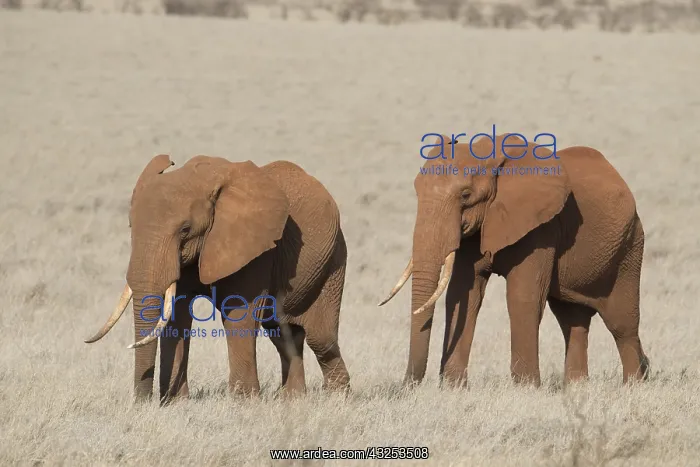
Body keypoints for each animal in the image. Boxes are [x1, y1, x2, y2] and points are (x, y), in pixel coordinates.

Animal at [85, 154, 351, 403]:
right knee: (282, 333)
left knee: (321, 339)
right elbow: (177, 315)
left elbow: (239, 312)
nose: (142, 402)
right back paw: (294, 400)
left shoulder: (256, 247)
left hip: (333, 261)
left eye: (185, 230)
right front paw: (175, 404)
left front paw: (244, 403)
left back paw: (336, 399)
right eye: (131, 226)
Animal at [379, 133, 650, 388]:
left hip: (629, 247)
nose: (407, 386)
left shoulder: (542, 226)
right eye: (417, 191)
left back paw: (634, 385)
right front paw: (452, 388)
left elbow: (522, 297)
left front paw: (526, 388)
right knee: (572, 320)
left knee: (622, 324)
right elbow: (462, 294)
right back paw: (578, 388)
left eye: (466, 195)